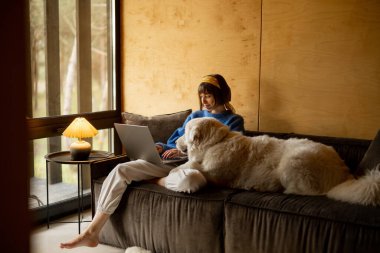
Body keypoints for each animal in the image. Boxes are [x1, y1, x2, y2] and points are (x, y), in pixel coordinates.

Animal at [168, 116, 380, 206]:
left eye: (184, 132)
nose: (176, 142)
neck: (216, 143)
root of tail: (344, 174)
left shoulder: (215, 175)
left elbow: (192, 165)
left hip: (293, 161)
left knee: (307, 191)